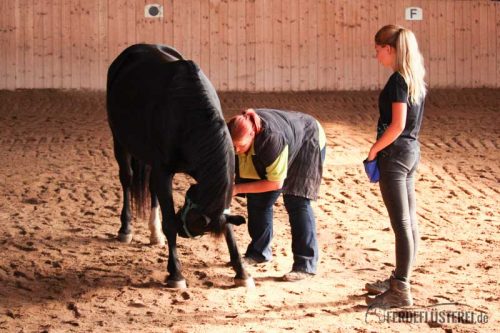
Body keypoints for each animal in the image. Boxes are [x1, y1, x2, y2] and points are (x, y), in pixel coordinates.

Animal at [106, 43, 254, 288]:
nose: (183, 229)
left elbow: (228, 225)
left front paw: (241, 271)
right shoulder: (164, 172)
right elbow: (169, 223)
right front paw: (176, 273)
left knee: (151, 189)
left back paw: (154, 234)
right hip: (120, 141)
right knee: (126, 179)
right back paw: (125, 228)